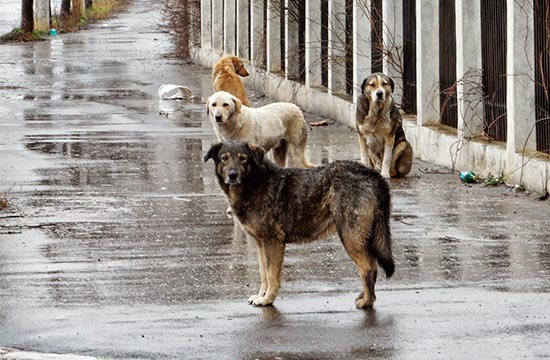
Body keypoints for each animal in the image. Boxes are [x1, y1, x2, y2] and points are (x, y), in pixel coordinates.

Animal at [205, 141, 394, 310]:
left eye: (243, 158)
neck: (254, 182)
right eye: (224, 159)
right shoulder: (261, 244)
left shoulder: (273, 242)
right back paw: (366, 297)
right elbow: (263, 274)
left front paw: (267, 300)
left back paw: (367, 302)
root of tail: (373, 175)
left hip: (350, 238)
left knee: (368, 268)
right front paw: (261, 295)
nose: (232, 175)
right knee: (371, 268)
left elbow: (271, 276)